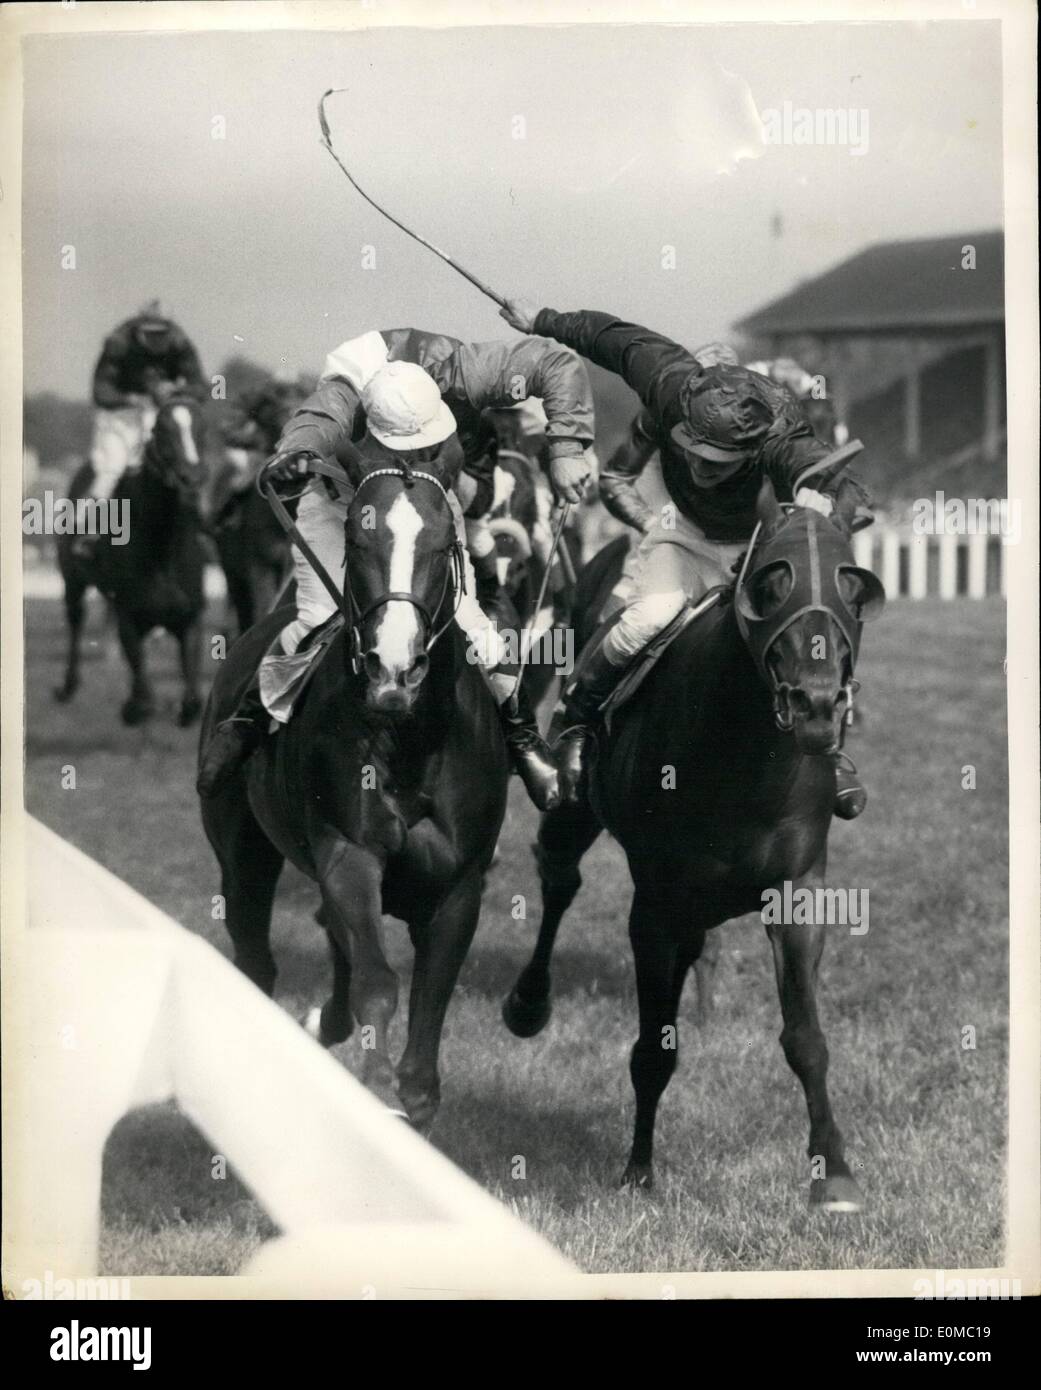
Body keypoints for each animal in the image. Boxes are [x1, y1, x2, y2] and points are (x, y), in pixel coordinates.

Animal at [54, 389, 208, 722]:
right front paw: (134, 705)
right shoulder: (129, 614)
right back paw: (67, 685)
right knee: (75, 618)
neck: (162, 551)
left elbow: (193, 702)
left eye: (203, 428)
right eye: (162, 430)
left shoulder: (189, 617)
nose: (191, 478)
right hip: (72, 579)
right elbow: (143, 694)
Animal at [198, 464, 508, 1128]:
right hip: (242, 854)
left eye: (441, 546)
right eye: (359, 543)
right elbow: (377, 978)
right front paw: (375, 1086)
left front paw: (410, 1097)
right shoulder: (349, 851)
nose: (394, 668)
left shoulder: (461, 881)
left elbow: (430, 999)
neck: (409, 738)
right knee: (257, 955)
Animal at [503, 483, 883, 1212]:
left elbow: (805, 1036)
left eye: (853, 589)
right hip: (577, 809)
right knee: (558, 876)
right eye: (771, 584)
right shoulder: (655, 905)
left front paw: (834, 1173)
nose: (818, 705)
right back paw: (529, 1000)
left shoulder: (797, 890)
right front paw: (637, 1170)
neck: (744, 756)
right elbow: (653, 1048)